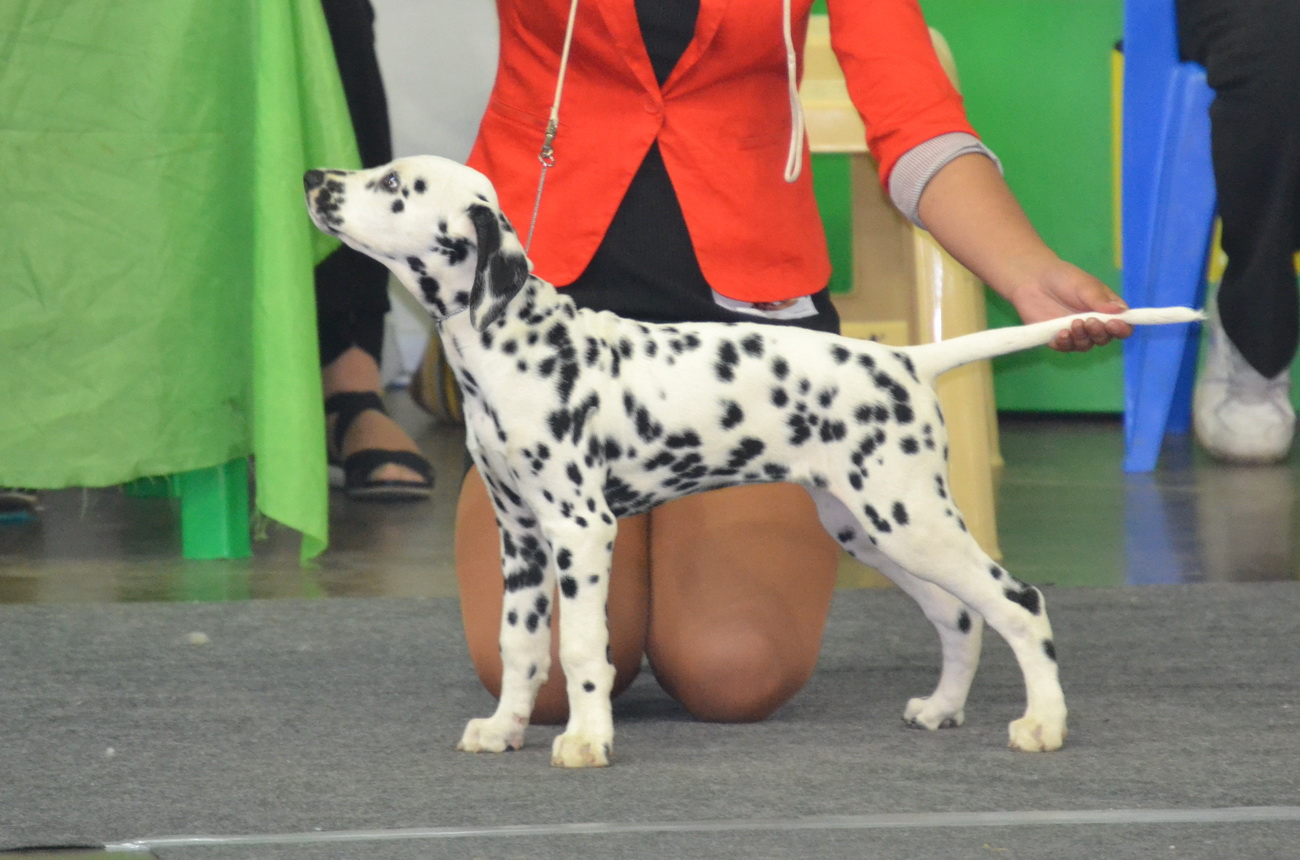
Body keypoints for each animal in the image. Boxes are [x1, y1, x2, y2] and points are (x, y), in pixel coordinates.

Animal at [304, 155, 1201, 768]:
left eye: (395, 185)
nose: (316, 177)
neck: (510, 344)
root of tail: (908, 359)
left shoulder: (580, 531)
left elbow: (583, 649)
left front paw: (588, 740)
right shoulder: (521, 538)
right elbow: (521, 647)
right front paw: (504, 728)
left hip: (912, 521)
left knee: (1019, 603)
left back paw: (1044, 724)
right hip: (870, 530)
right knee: (960, 616)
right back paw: (942, 709)